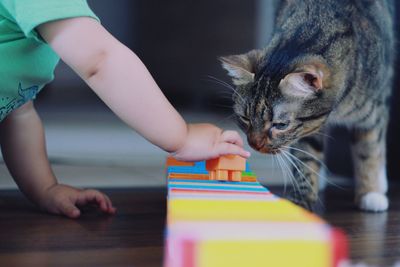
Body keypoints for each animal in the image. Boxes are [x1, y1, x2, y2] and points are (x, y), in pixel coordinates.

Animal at [222, 0, 394, 214]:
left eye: (280, 125)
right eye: (245, 118)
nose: (254, 144)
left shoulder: (373, 113)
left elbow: (368, 151)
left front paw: (371, 193)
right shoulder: (307, 130)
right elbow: (306, 160)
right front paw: (301, 199)